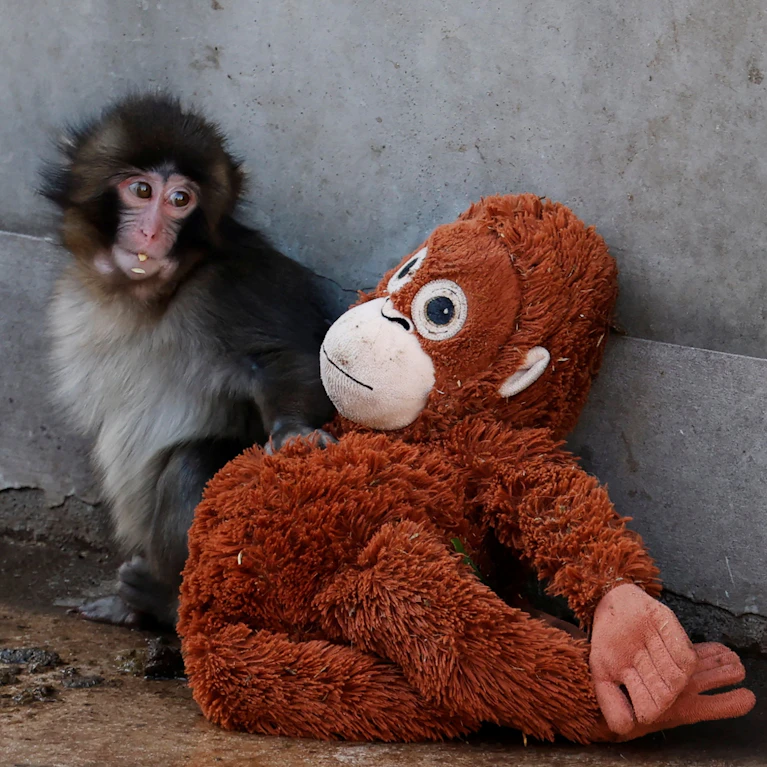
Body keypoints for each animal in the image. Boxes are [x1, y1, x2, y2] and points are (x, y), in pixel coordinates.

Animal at [40, 93, 336, 629]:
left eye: (181, 200)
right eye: (141, 190)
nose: (152, 231)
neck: (147, 296)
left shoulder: (233, 284)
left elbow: (285, 358)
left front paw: (294, 432)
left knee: (191, 465)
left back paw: (163, 602)